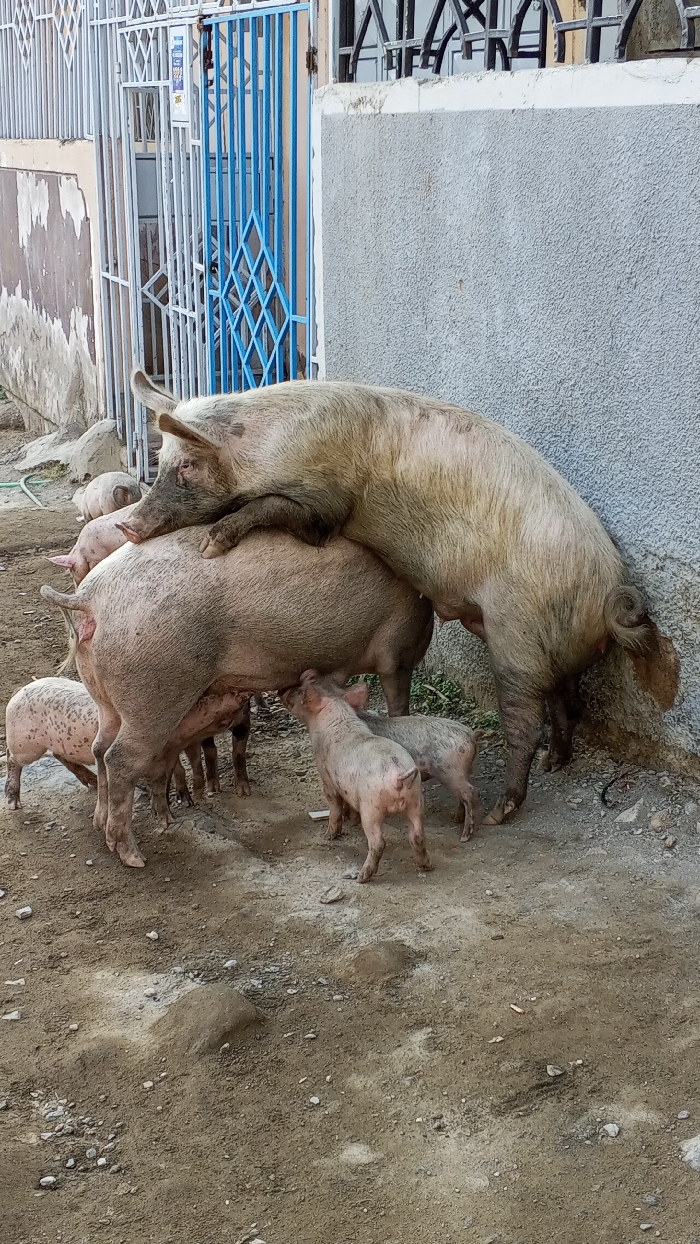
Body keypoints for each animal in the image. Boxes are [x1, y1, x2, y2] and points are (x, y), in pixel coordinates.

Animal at [4, 677, 98, 808]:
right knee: (12, 758)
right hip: (24, 743)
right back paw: (14, 804)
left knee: (59, 755)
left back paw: (94, 782)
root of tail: (19, 692)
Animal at [282, 672, 431, 883]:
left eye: (301, 694)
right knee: (417, 835)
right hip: (417, 801)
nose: (283, 690)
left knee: (378, 842)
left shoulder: (326, 777)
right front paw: (351, 819)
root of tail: (400, 775)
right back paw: (426, 866)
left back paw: (362, 877)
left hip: (371, 807)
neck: (337, 711)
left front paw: (328, 836)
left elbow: (334, 805)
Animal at [345, 683, 479, 841]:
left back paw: (464, 836)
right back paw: (456, 818)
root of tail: (471, 735)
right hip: (463, 771)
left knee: (471, 792)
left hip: (449, 770)